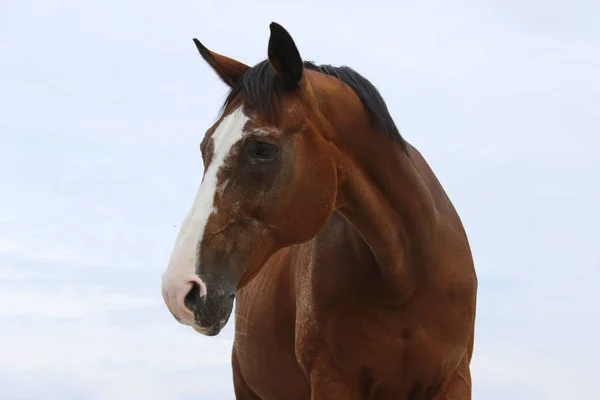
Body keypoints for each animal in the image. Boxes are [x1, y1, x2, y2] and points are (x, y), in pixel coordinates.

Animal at [161, 22, 478, 400]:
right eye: (205, 147)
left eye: (263, 148)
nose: (179, 289)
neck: (407, 276)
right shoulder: (332, 381)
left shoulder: (455, 379)